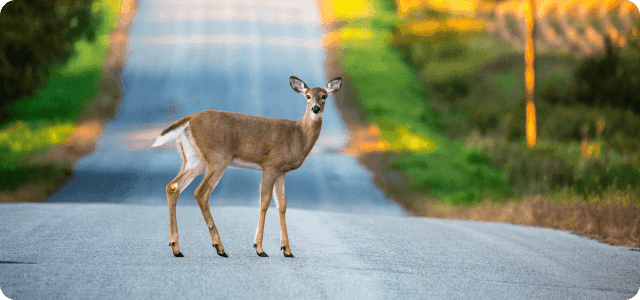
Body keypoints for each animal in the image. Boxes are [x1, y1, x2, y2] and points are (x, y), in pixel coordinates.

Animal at [151, 75, 342, 258]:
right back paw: (219, 247)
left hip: (193, 159)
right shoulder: (271, 164)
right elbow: (264, 201)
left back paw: (176, 248)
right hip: (218, 158)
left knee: (173, 186)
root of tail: (189, 120)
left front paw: (287, 250)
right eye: (307, 96)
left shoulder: (282, 171)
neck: (298, 135)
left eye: (324, 96)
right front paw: (259, 248)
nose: (315, 109)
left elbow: (282, 204)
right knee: (201, 192)